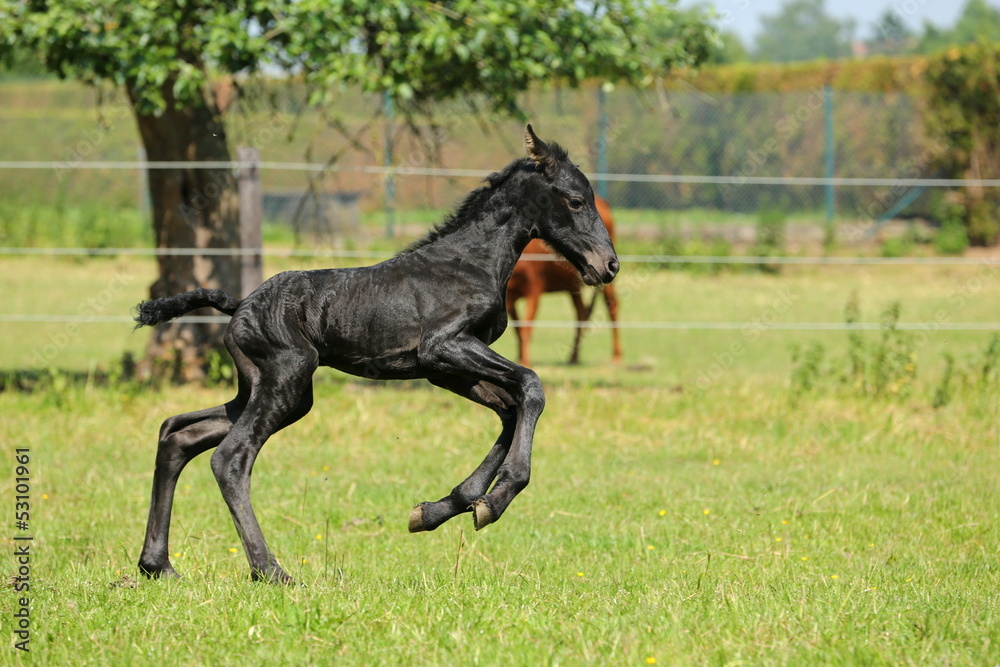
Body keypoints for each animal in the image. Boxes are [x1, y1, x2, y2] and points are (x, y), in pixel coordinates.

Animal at [504, 196, 620, 368]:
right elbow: (517, 328)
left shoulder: (534, 289)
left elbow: (525, 327)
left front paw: (525, 362)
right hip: (572, 287)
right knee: (581, 314)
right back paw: (573, 358)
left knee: (612, 306)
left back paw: (617, 356)